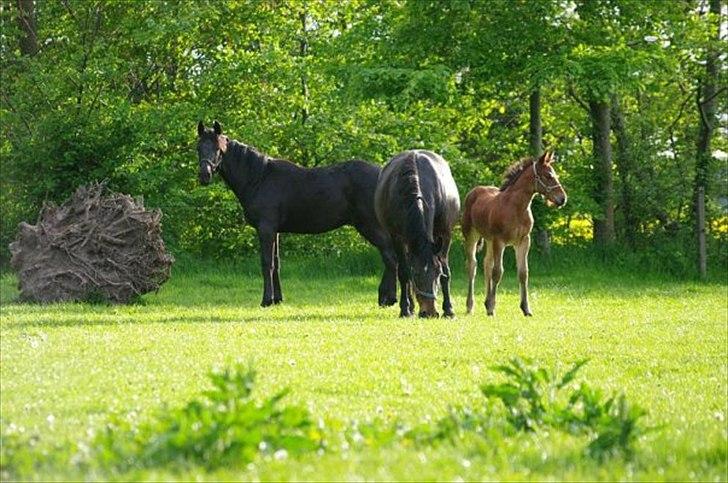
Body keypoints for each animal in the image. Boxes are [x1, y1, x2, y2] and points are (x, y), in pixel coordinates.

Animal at [196, 120, 396, 306]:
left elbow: (267, 263)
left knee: (389, 256)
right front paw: (277, 299)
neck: (259, 178)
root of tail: (382, 175)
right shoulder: (275, 231)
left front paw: (266, 300)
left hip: (369, 225)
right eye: (198, 148)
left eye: (218, 148)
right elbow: (276, 263)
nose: (204, 175)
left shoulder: (266, 228)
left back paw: (389, 298)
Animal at [376, 150, 460, 318]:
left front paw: (449, 310)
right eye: (416, 274)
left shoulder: (445, 234)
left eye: (437, 273)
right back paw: (411, 306)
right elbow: (404, 272)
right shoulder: (398, 237)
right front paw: (405, 309)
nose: (429, 312)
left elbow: (447, 272)